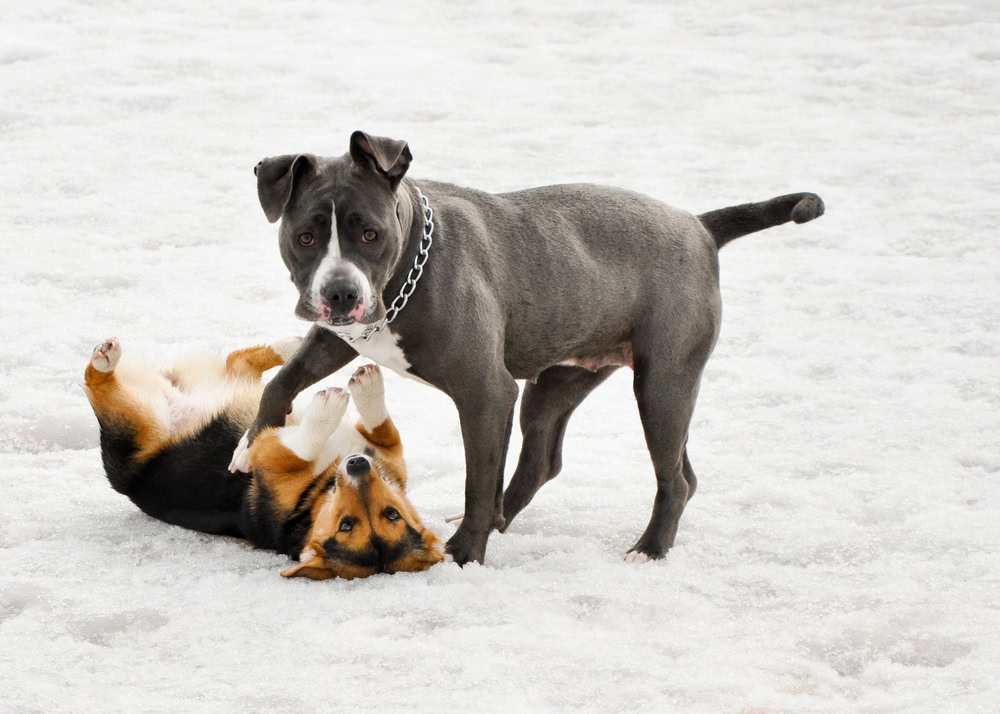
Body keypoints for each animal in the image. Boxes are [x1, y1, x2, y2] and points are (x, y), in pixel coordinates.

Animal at [84, 336, 444, 580]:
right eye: (347, 523)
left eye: (391, 515)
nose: (358, 465)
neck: (317, 494)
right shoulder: (385, 453)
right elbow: (382, 428)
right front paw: (363, 386)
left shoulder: (269, 454)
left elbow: (305, 444)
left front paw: (336, 401)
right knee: (239, 362)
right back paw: (289, 346)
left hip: (139, 417)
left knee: (98, 386)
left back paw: (105, 359)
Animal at [230, 131, 824, 564]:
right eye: (306, 237)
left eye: (370, 234)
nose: (340, 292)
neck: (411, 266)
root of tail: (699, 226)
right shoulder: (340, 336)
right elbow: (283, 380)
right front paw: (248, 449)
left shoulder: (485, 392)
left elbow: (477, 478)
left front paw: (464, 555)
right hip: (558, 384)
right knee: (546, 460)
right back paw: (509, 519)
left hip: (663, 382)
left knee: (672, 478)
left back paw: (648, 549)